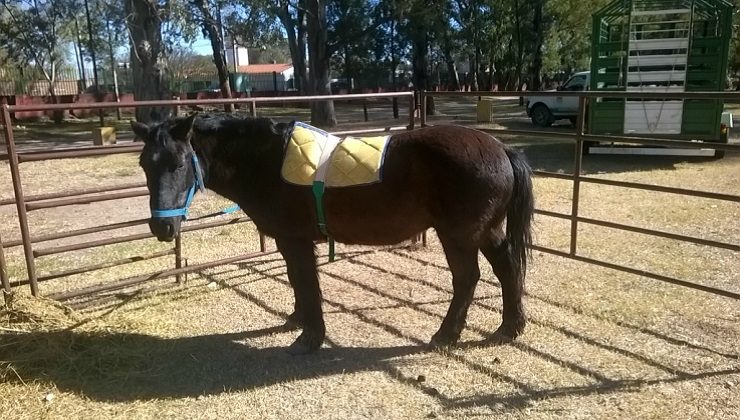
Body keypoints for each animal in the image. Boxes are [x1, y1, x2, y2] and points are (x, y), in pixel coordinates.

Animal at [133, 112, 536, 354]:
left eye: (179, 163)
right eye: (143, 164)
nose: (162, 226)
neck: (265, 161)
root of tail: (502, 148)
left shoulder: (296, 241)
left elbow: (308, 284)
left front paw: (309, 338)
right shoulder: (287, 242)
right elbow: (296, 282)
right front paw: (296, 319)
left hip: (459, 235)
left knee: (467, 278)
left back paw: (445, 335)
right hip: (487, 231)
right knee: (507, 269)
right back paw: (508, 328)